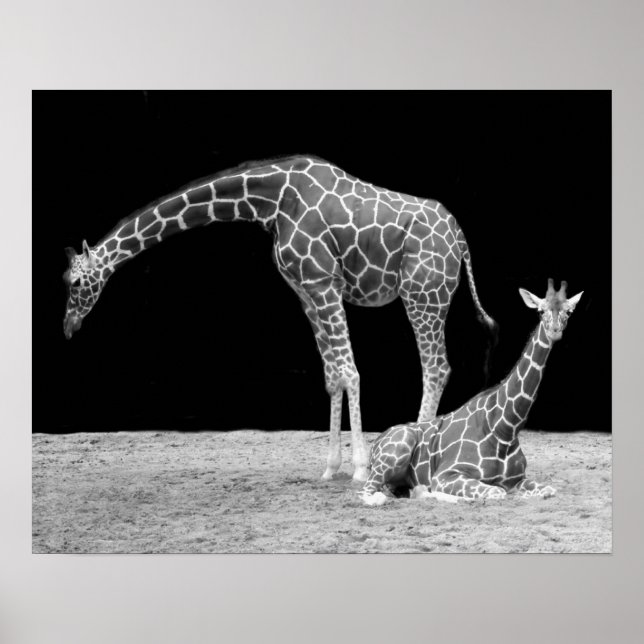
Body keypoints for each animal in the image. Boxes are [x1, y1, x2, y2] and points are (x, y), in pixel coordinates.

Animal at [62, 155, 496, 482]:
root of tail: (460, 240)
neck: (271, 202)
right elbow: (332, 376)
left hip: (423, 294)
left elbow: (351, 372)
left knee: (436, 367)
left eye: (77, 281)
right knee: (435, 366)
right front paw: (330, 468)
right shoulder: (306, 293)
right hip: (425, 295)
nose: (68, 327)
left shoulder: (324, 283)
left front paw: (358, 468)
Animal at [359, 279, 583, 505]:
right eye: (540, 310)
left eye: (569, 311)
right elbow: (497, 492)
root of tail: (375, 444)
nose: (554, 331)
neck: (505, 428)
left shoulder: (516, 479)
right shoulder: (445, 475)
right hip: (396, 452)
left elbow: (548, 490)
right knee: (369, 494)